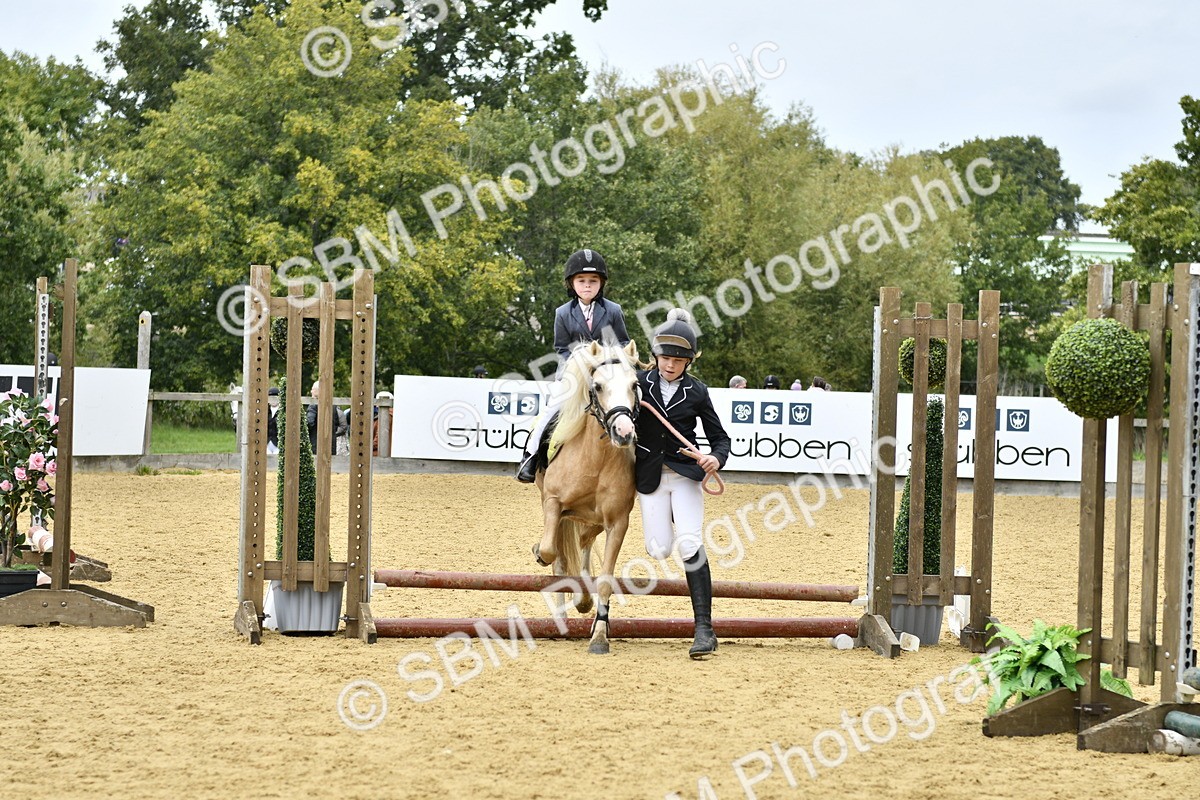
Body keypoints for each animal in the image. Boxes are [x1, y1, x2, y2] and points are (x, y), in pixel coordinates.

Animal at [532, 339, 640, 655]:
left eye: (634, 385)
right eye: (599, 386)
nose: (624, 432)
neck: (596, 459)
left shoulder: (617, 522)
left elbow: (604, 579)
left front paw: (599, 636)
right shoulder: (553, 504)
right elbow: (550, 553)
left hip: (591, 520)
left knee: (583, 544)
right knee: (560, 557)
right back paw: (560, 616)